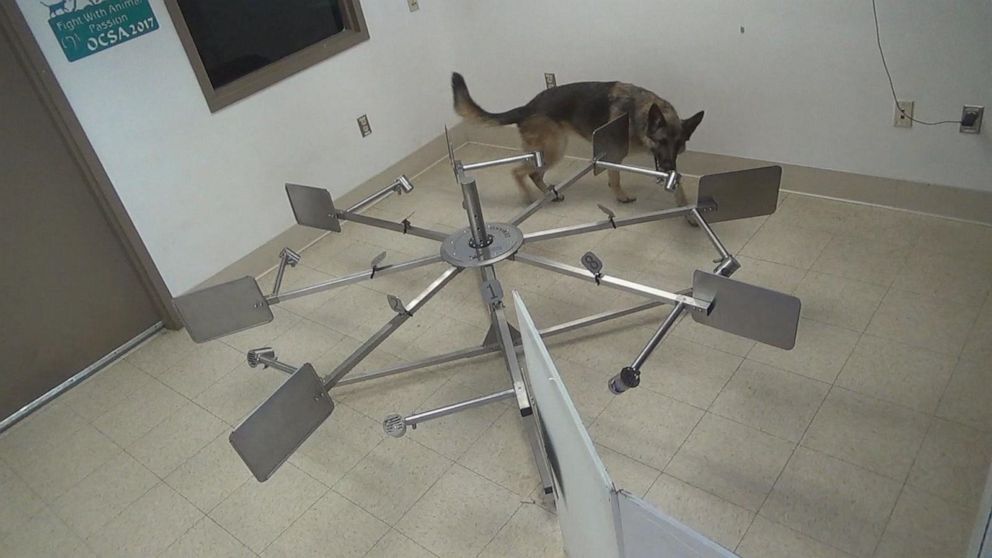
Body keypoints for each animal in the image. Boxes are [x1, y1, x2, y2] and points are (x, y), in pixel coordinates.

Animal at [454, 72, 700, 206]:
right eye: (662, 141)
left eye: (679, 145)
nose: (668, 166)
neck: (639, 113)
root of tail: (526, 108)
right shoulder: (614, 155)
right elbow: (616, 179)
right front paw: (621, 196)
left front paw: (684, 204)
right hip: (554, 149)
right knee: (518, 171)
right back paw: (527, 197)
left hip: (552, 151)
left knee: (534, 174)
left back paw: (549, 193)